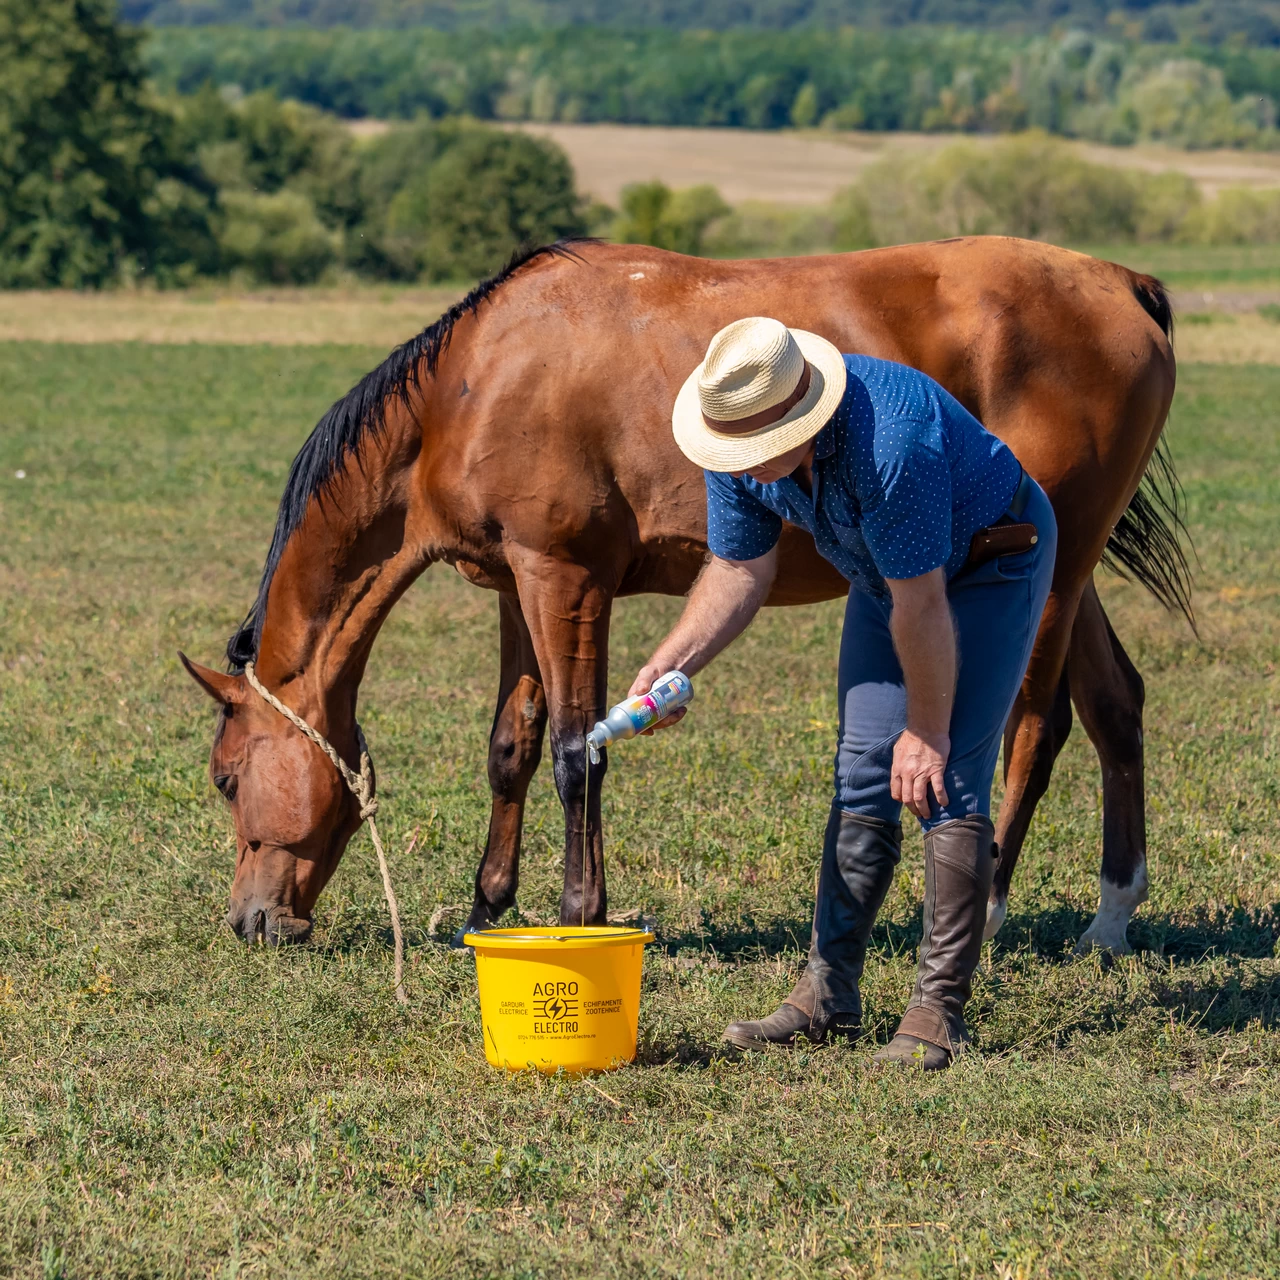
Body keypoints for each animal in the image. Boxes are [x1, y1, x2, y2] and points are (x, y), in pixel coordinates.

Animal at [179, 236, 1187, 958]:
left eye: (228, 779)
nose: (251, 921)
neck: (476, 381)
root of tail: (1124, 283)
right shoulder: (516, 587)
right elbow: (512, 748)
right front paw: (488, 908)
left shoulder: (567, 581)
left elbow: (576, 755)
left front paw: (579, 910)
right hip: (1039, 560)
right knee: (1116, 706)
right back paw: (1109, 920)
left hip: (1053, 575)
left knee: (1035, 729)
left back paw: (993, 910)